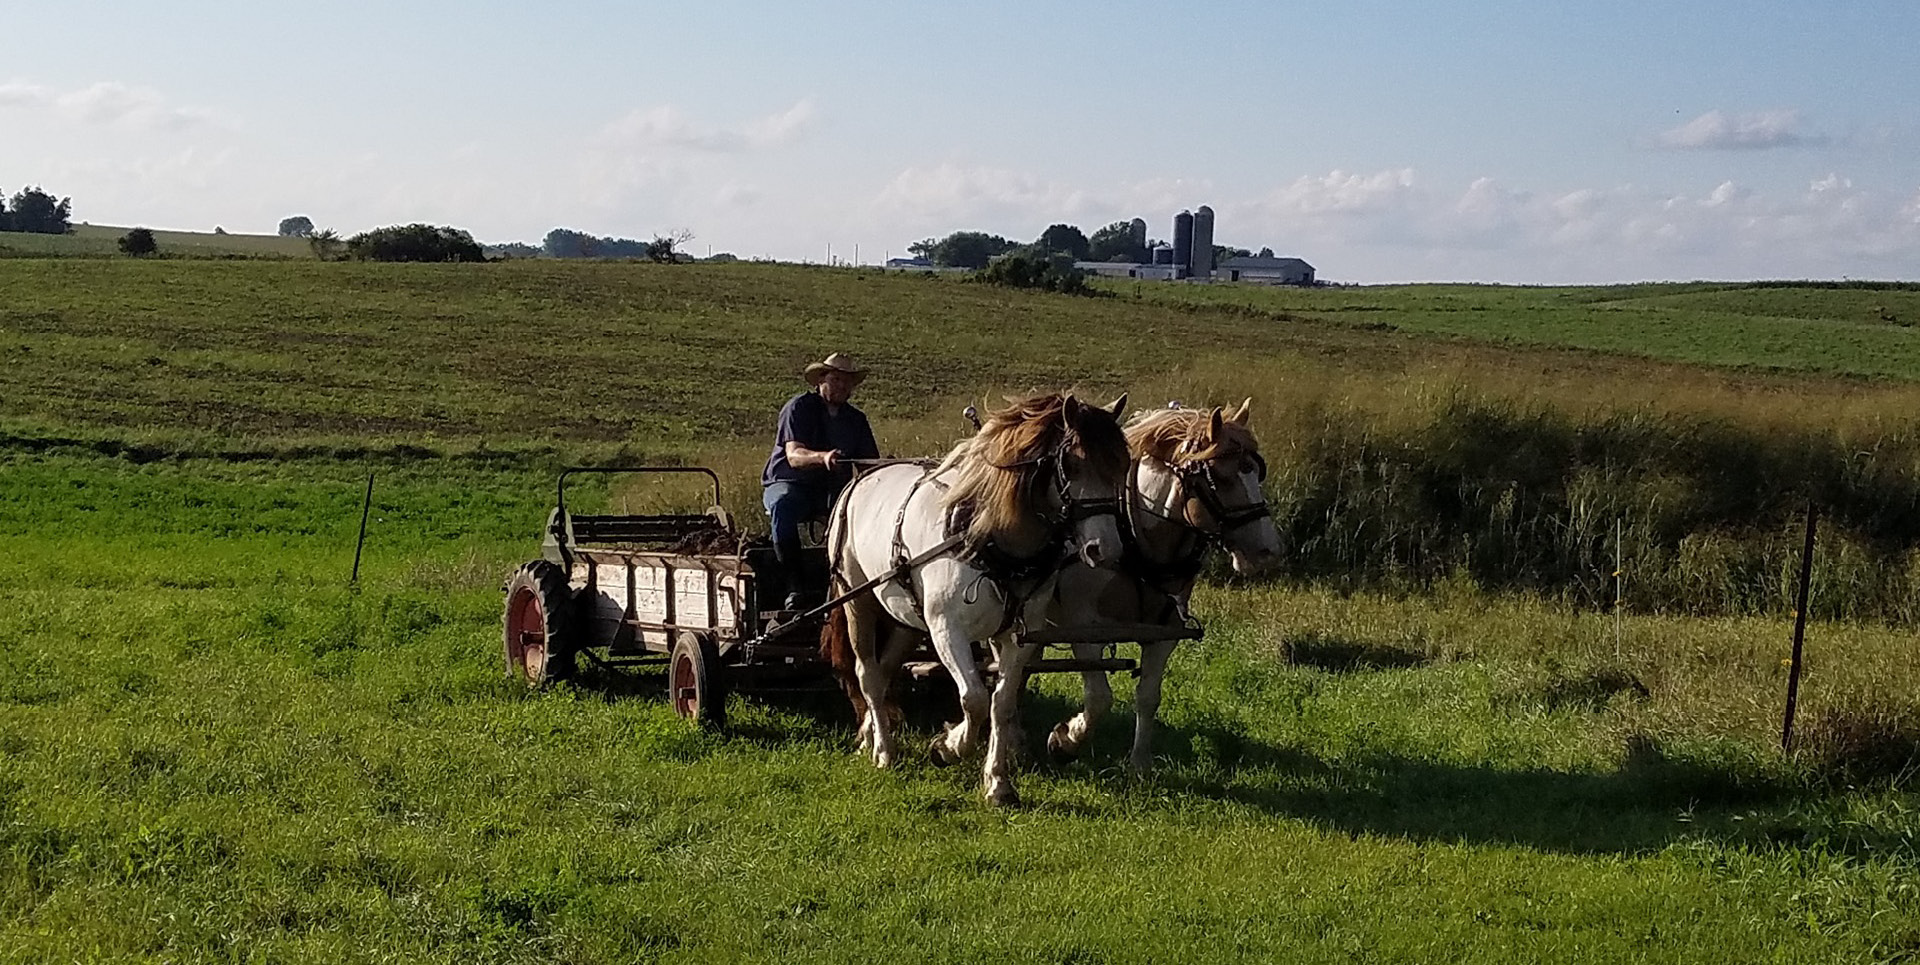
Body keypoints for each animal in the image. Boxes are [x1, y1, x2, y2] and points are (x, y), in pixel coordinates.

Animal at [1044, 400, 1282, 771]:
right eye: (1220, 478)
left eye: (1257, 472)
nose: (1269, 550)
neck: (1135, 541)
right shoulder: (1083, 629)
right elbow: (1099, 698)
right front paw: (1065, 741)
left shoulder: (1163, 635)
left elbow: (1148, 697)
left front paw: (1139, 764)